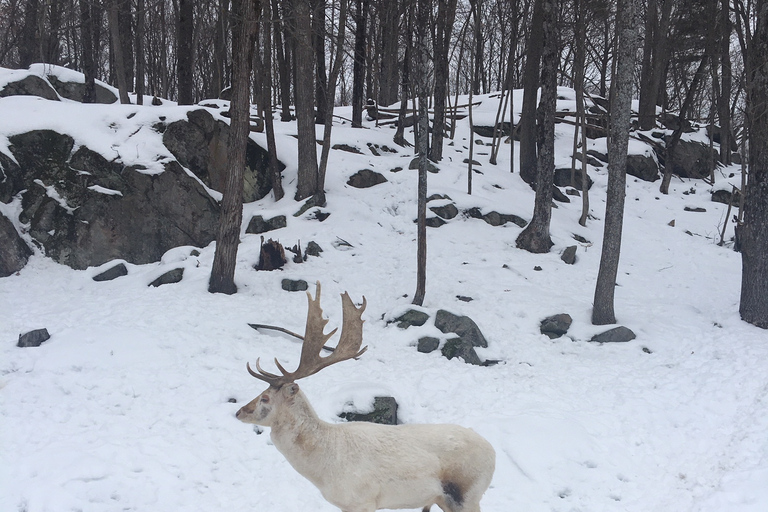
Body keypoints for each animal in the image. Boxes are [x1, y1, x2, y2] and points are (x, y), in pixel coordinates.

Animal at [237, 282, 496, 512]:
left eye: (265, 398)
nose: (239, 411)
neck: (323, 469)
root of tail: (493, 454)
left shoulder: (362, 501)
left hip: (466, 495)